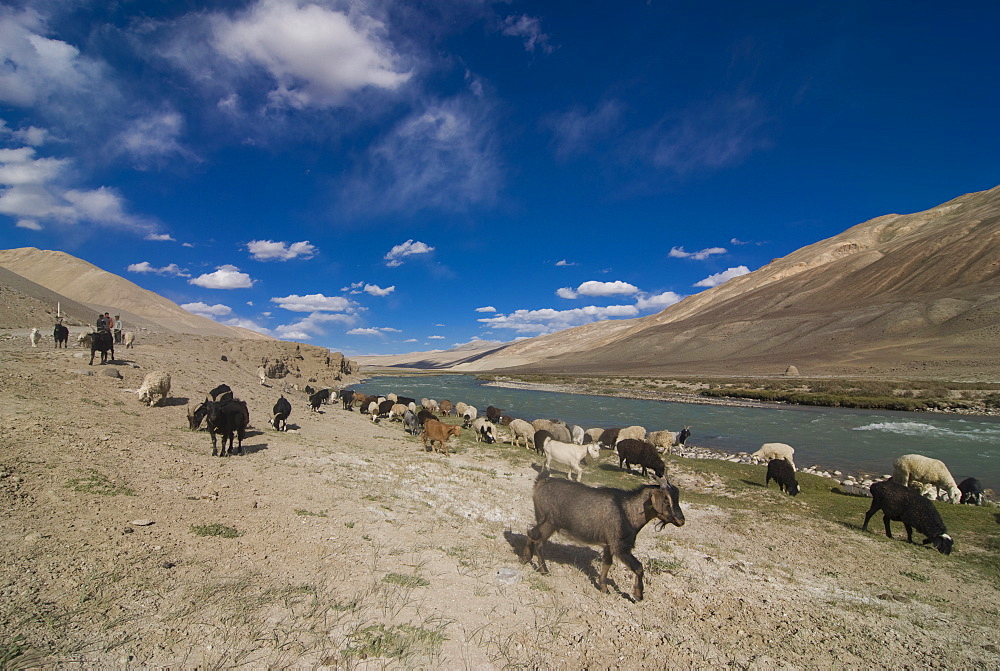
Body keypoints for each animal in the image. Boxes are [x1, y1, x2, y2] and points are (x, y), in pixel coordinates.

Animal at [524, 476, 680, 600]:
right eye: (666, 500)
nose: (681, 520)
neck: (627, 511)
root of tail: (539, 483)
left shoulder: (609, 545)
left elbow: (607, 564)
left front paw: (604, 588)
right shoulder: (620, 546)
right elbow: (639, 567)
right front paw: (638, 595)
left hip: (545, 521)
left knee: (532, 534)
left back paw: (526, 559)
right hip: (549, 522)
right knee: (537, 539)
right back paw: (543, 569)